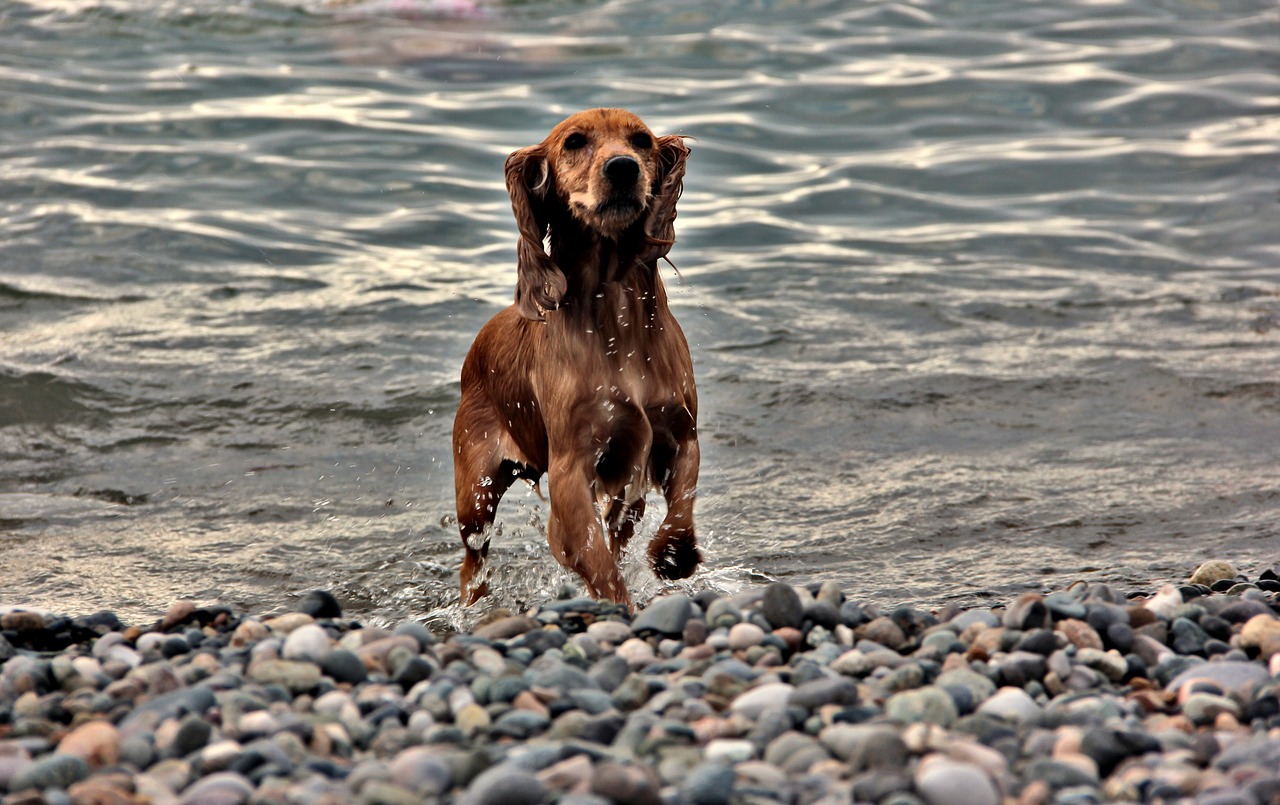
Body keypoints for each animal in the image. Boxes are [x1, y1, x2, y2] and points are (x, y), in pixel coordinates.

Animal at [453, 110, 701, 606]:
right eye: (574, 142)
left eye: (641, 141)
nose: (623, 167)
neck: (615, 314)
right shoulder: (571, 470)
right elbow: (595, 559)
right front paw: (621, 602)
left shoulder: (679, 434)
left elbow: (682, 504)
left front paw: (674, 555)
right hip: (475, 493)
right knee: (473, 559)